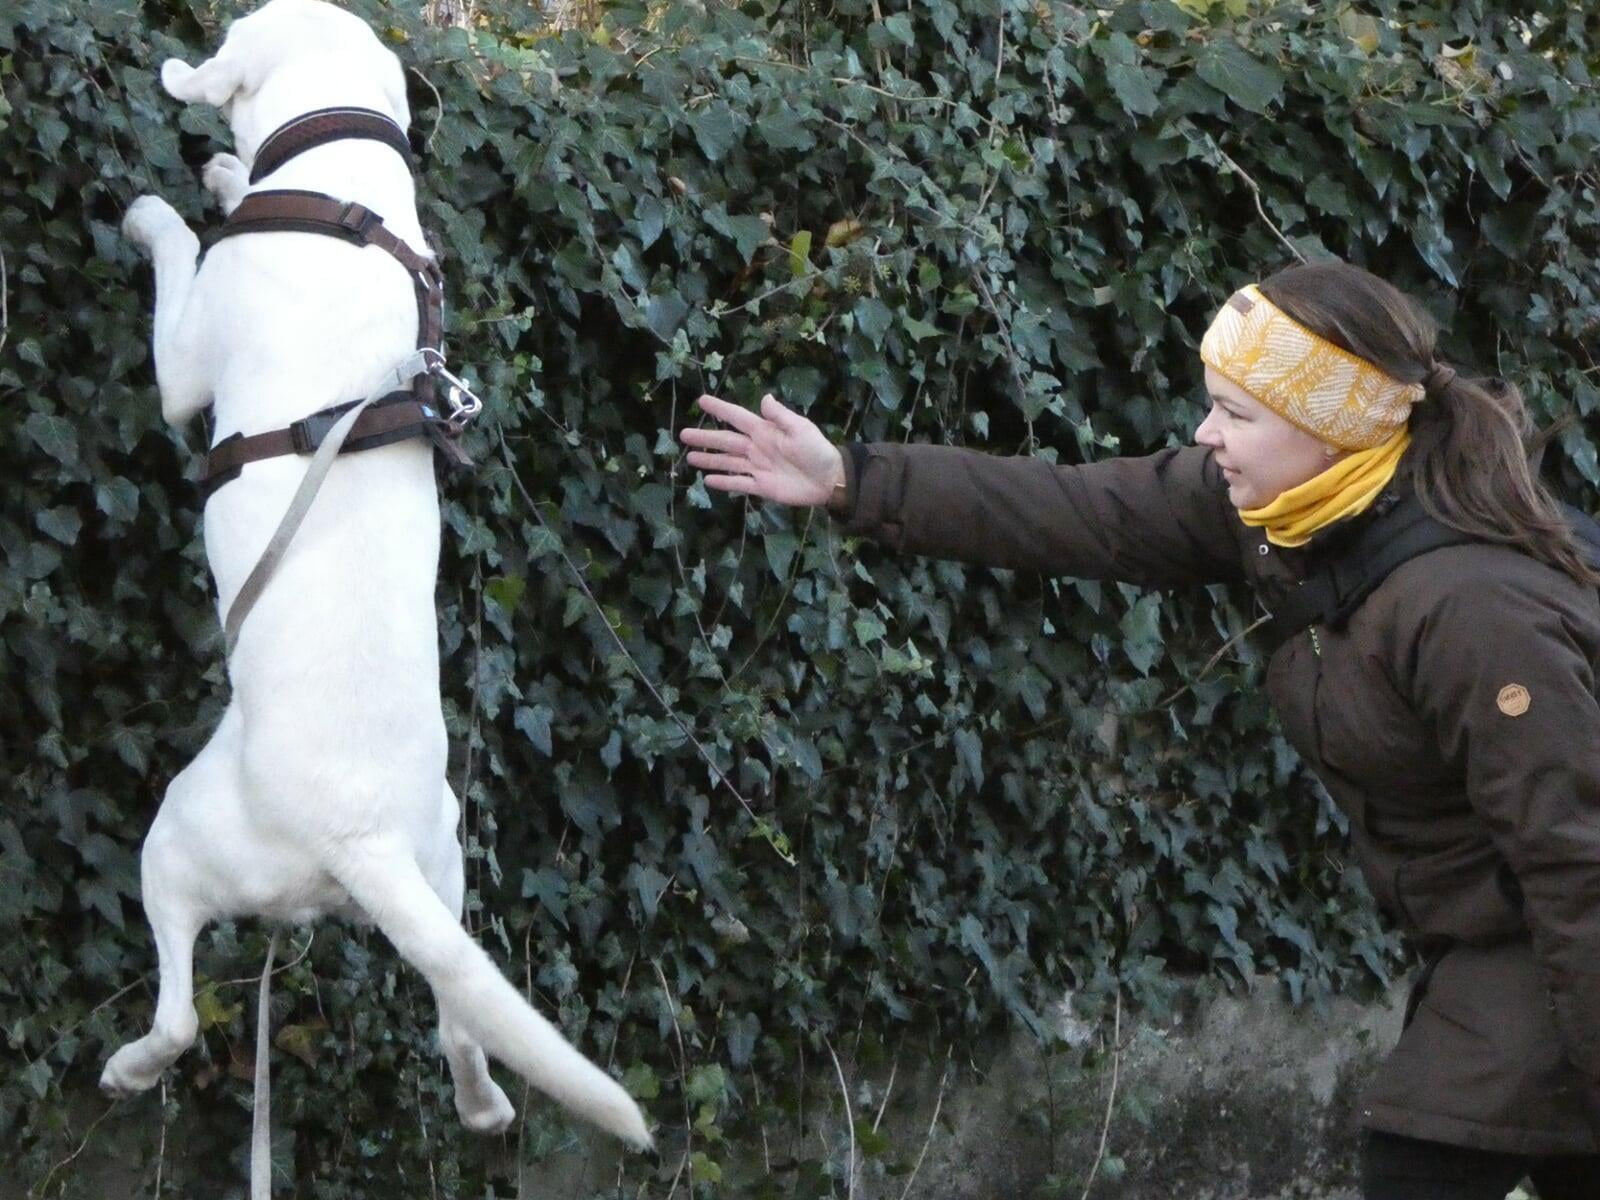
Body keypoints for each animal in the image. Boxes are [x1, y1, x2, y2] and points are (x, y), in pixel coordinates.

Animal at [108, 0, 649, 1152]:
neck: (345, 190)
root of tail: (362, 846)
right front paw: (230, 174)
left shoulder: (183, 371)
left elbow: (179, 265)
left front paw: (165, 207)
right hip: (446, 885)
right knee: (460, 1023)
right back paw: (485, 1108)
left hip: (176, 837)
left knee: (178, 1014)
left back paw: (129, 1068)